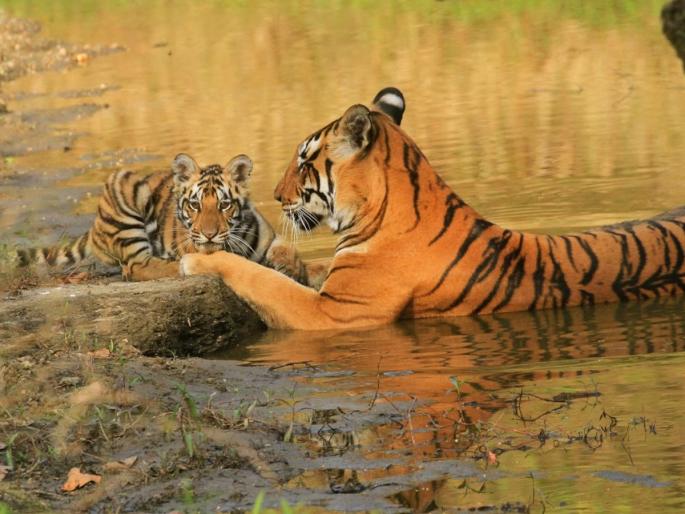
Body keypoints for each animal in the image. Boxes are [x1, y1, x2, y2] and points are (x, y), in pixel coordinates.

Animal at [17, 153, 309, 283]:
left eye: (224, 205)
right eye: (195, 205)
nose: (210, 234)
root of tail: (94, 226)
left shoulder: (269, 238)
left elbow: (289, 251)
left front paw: (292, 267)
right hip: (124, 190)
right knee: (136, 267)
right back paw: (177, 266)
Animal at [180, 87, 685, 330]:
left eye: (305, 162)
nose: (277, 194)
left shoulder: (336, 313)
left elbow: (260, 281)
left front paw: (198, 258)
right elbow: (304, 267)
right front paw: (283, 256)